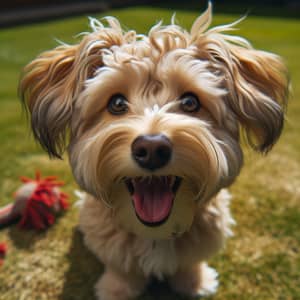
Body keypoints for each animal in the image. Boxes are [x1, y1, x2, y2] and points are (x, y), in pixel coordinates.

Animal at [19, 2, 290, 300]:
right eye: (116, 103)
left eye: (190, 102)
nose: (151, 148)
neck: (155, 233)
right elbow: (121, 269)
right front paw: (117, 290)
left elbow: (189, 263)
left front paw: (194, 283)